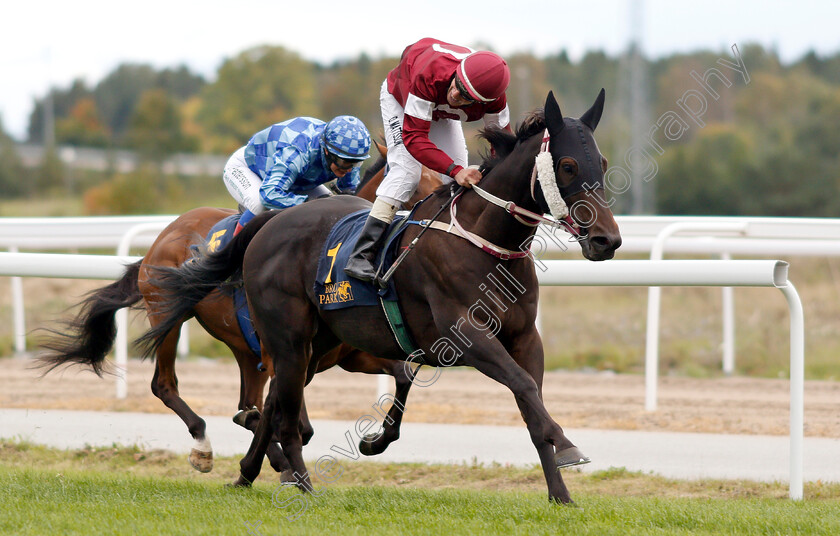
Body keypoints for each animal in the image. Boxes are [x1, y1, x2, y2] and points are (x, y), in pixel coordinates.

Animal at [37, 139, 446, 474]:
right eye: (415, 189)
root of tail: (164, 236)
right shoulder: (291, 354)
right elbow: (295, 422)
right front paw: (276, 461)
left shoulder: (349, 355)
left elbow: (402, 376)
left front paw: (373, 442)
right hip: (168, 316)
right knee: (165, 385)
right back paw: (205, 447)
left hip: (245, 350)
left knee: (247, 400)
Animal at [136, 90, 624, 504]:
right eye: (567, 165)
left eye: (600, 161)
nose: (607, 240)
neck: (484, 242)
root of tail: (267, 224)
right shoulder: (467, 336)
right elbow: (522, 387)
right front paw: (568, 445)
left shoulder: (524, 338)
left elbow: (530, 400)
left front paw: (560, 493)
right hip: (287, 340)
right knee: (282, 414)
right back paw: (301, 485)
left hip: (314, 344)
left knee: (273, 405)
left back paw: (249, 472)